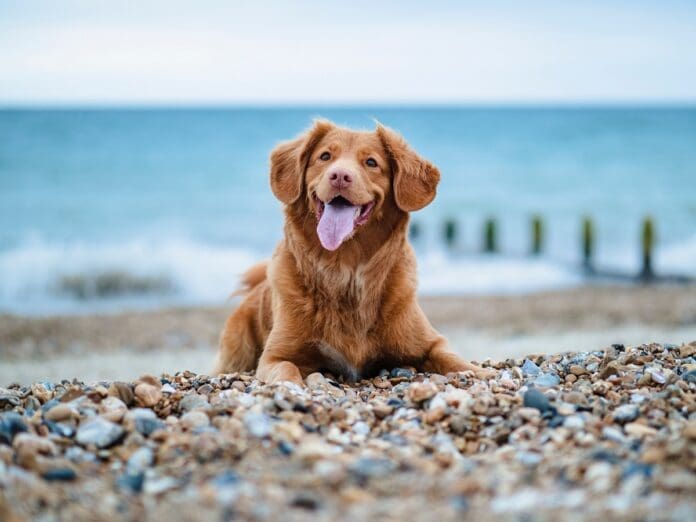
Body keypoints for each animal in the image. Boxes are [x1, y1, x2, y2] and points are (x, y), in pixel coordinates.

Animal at [215, 121, 492, 382]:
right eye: (325, 156)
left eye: (371, 162)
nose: (339, 176)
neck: (344, 269)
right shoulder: (275, 356)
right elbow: (286, 369)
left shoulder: (430, 342)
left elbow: (452, 358)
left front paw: (479, 372)